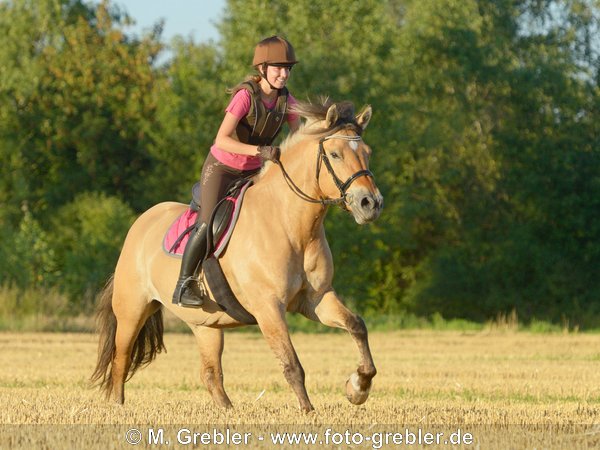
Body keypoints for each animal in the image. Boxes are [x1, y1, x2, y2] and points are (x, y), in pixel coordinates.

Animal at [91, 97, 382, 412]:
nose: (371, 203)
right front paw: (308, 411)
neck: (291, 224)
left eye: (367, 153)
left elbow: (357, 326)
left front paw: (358, 387)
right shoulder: (268, 307)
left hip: (206, 325)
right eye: (335, 154)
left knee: (210, 374)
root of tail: (140, 224)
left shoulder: (316, 299)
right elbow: (292, 364)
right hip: (132, 310)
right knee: (121, 359)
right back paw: (118, 407)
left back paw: (227, 410)